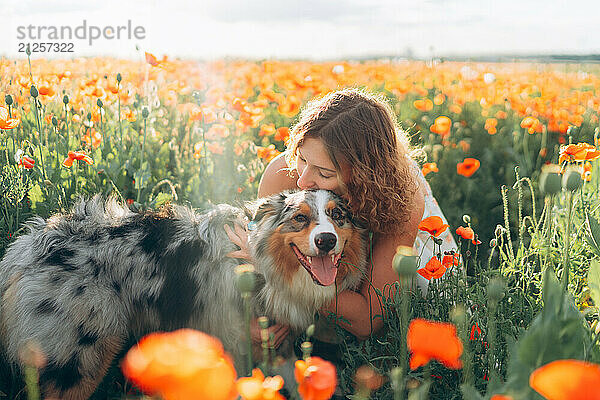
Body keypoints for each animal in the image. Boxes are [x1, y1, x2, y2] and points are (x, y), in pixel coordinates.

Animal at [0, 189, 368, 398]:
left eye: (337, 215)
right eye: (300, 218)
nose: (326, 240)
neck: (260, 262)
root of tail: (25, 248)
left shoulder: (275, 343)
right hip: (79, 358)